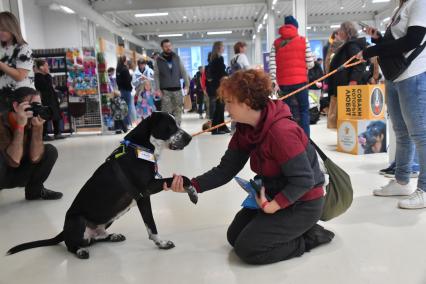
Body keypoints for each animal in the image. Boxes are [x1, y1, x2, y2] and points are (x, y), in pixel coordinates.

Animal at [7, 111, 196, 260]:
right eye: (170, 126)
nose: (189, 138)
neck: (140, 147)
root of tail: (64, 230)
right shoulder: (145, 191)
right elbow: (152, 223)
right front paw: (161, 243)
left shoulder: (150, 189)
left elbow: (182, 179)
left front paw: (192, 192)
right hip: (78, 220)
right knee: (72, 245)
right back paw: (80, 251)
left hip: (107, 221)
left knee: (95, 239)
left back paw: (112, 236)